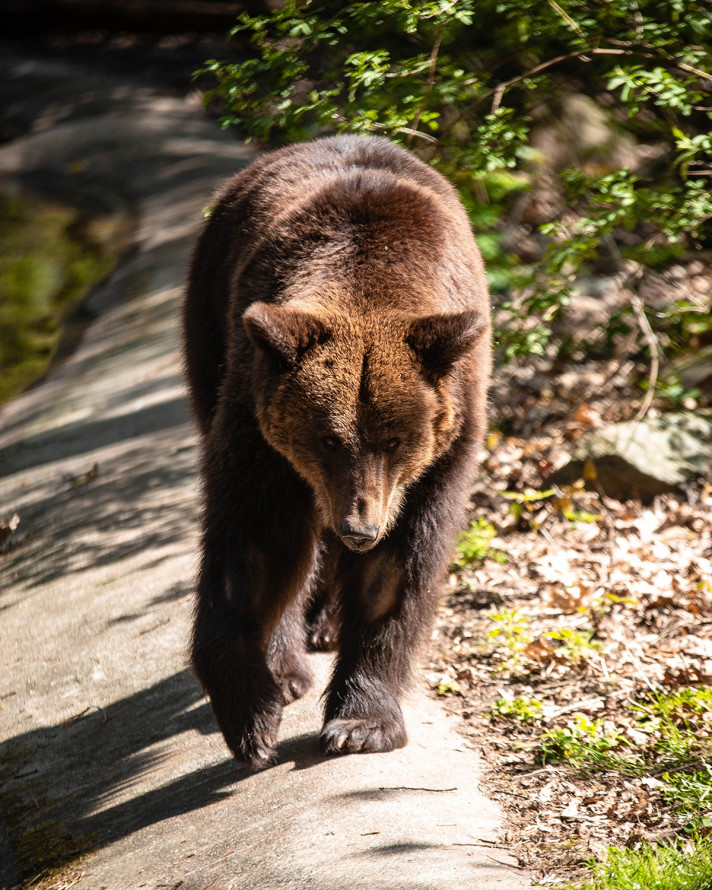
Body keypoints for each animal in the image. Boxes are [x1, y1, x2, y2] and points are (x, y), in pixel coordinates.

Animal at [184, 135, 492, 768]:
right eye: (326, 437)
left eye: (396, 438)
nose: (359, 527)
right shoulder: (258, 426)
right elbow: (255, 547)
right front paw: (252, 714)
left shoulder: (440, 455)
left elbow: (396, 571)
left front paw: (362, 722)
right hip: (209, 316)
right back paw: (289, 664)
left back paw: (324, 624)